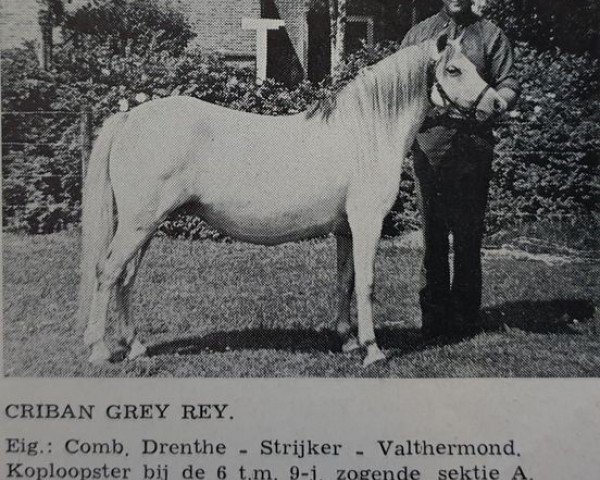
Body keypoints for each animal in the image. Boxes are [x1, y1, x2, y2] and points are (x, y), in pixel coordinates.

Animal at [76, 34, 506, 368]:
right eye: (454, 70)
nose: (498, 104)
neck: (366, 132)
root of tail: (129, 117)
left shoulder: (346, 228)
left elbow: (345, 280)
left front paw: (347, 340)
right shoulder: (367, 222)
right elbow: (367, 282)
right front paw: (372, 350)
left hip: (145, 226)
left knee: (126, 278)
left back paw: (135, 347)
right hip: (138, 224)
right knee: (108, 273)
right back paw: (99, 350)